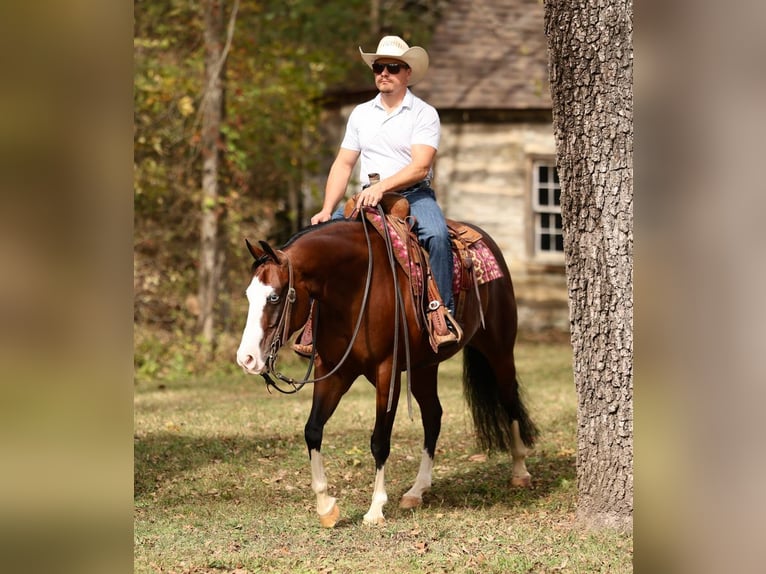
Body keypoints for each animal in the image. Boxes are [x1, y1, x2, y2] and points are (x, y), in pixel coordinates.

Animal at [235, 213, 538, 527]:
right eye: (249, 296)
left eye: (274, 297)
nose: (246, 358)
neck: (354, 290)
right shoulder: (333, 371)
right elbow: (313, 430)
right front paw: (326, 507)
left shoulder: (387, 372)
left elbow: (379, 440)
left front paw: (375, 509)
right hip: (424, 368)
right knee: (433, 416)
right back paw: (416, 491)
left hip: (499, 350)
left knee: (510, 401)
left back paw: (520, 471)